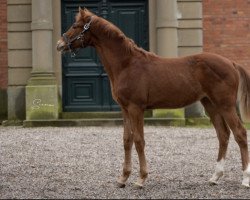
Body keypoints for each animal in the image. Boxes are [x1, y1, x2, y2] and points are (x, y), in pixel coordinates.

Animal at [57, 7, 250, 187]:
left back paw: (245, 179)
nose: (59, 44)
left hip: (225, 105)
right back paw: (215, 177)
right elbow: (127, 140)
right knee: (223, 135)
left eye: (75, 25)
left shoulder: (136, 108)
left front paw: (141, 179)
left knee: (239, 133)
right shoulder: (125, 109)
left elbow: (139, 140)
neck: (127, 64)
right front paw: (123, 178)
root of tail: (231, 63)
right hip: (210, 104)